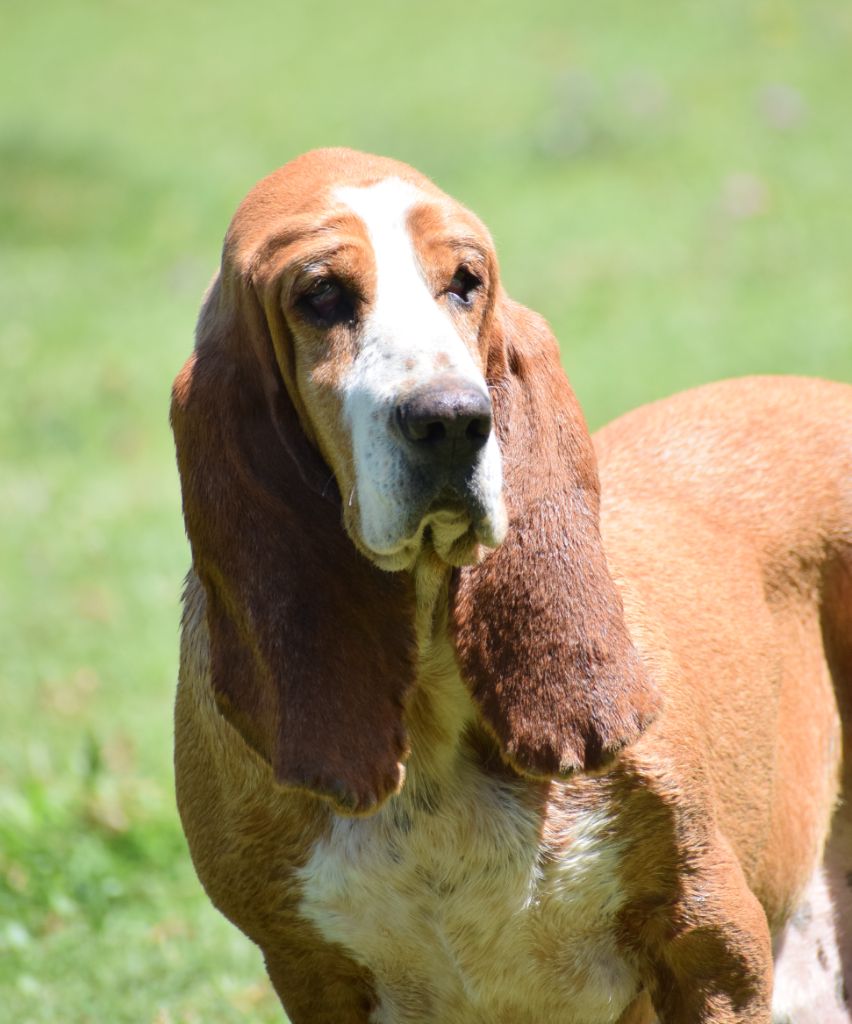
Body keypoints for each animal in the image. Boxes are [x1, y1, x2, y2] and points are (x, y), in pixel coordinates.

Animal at [169, 148, 847, 1019]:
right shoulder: (308, 971)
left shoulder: (712, 935)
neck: (431, 706)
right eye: (320, 294)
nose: (452, 418)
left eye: (466, 281)